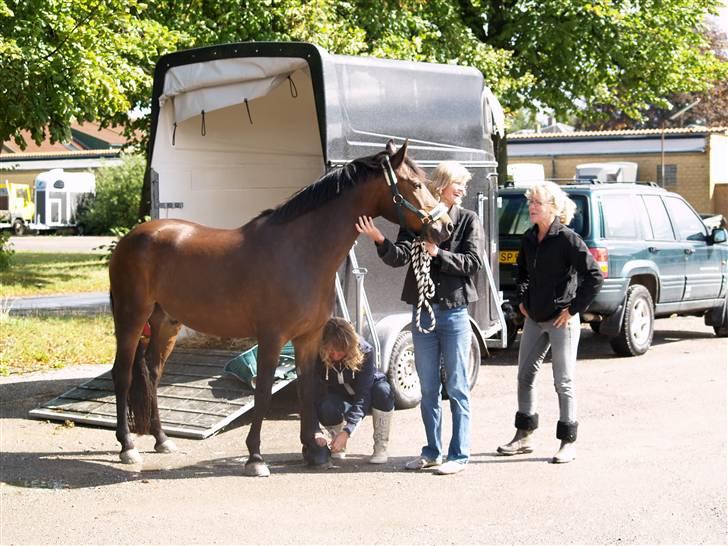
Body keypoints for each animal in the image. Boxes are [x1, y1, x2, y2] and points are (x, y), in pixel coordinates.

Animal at [109, 141, 452, 476]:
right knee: (122, 373)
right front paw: (255, 457)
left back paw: (162, 440)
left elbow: (307, 389)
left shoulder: (308, 338)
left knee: (152, 373)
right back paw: (127, 446)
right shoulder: (272, 337)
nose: (446, 227)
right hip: (130, 318)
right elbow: (262, 392)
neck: (300, 251)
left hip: (167, 322)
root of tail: (132, 238)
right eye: (417, 184)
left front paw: (313, 450)